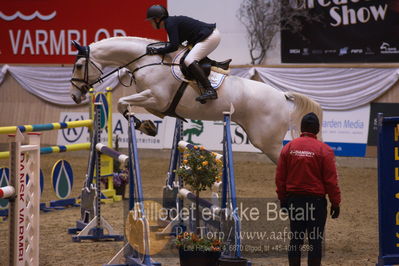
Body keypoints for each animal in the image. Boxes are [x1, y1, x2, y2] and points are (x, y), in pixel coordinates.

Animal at [70, 36, 324, 163]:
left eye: (80, 65)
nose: (74, 95)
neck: (146, 60)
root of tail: (282, 95)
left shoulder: (155, 97)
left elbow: (123, 103)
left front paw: (147, 127)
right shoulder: (157, 104)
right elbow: (131, 107)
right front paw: (149, 126)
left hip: (266, 141)